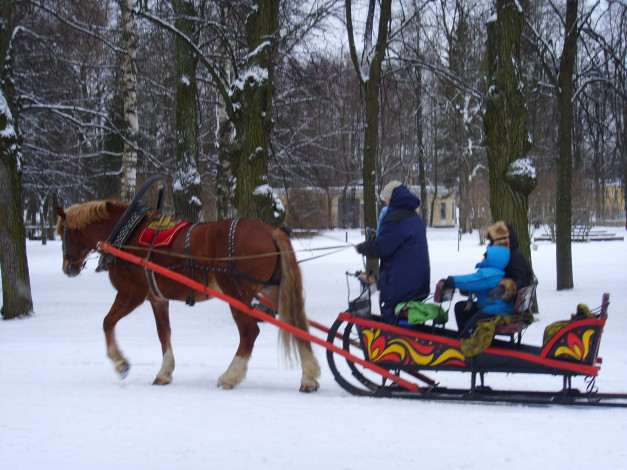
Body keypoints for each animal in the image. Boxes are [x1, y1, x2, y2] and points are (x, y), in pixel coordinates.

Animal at [54, 200, 322, 392]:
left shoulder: (131, 294)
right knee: (297, 325)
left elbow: (107, 322)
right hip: (271, 290)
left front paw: (121, 363)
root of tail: (272, 230)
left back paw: (230, 376)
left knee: (249, 332)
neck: (125, 234)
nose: (67, 268)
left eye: (64, 235)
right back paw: (308, 378)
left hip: (237, 292)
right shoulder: (158, 299)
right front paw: (164, 373)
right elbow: (164, 334)